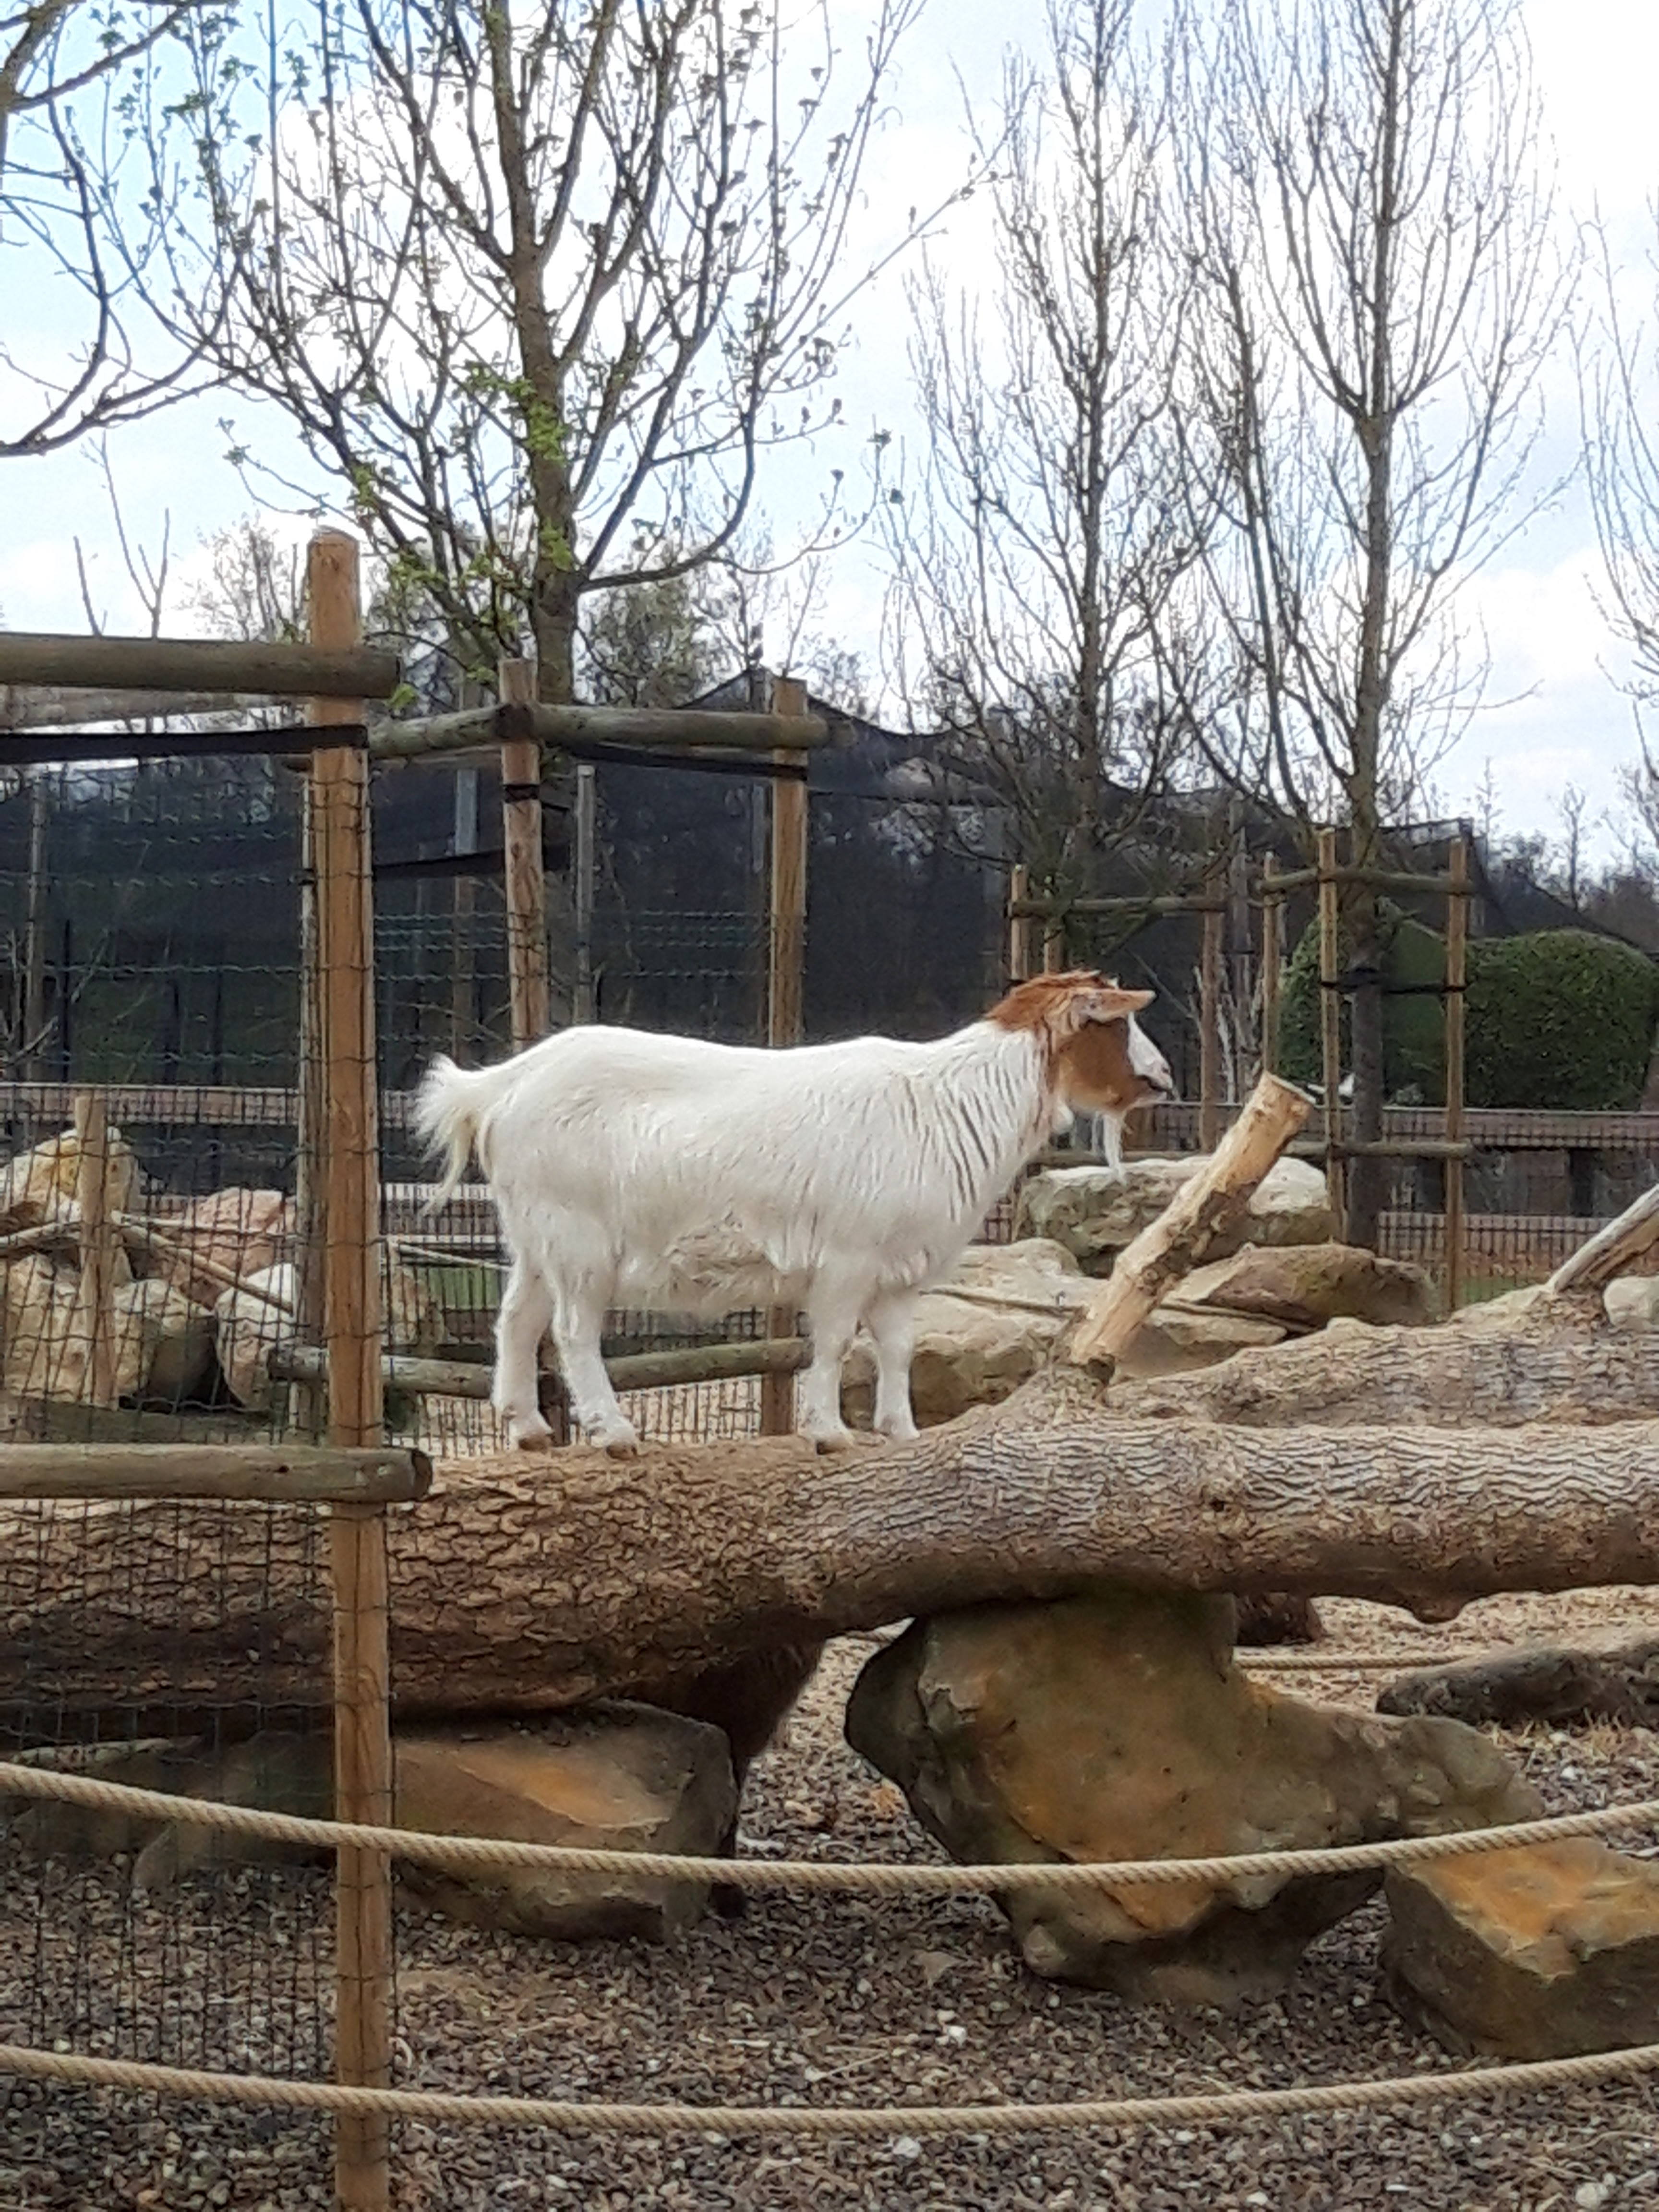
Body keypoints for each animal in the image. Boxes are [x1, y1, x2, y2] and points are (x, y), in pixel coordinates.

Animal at [414, 970, 1175, 1456]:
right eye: (1116, 1021)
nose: (1164, 1078)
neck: (952, 1101)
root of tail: (498, 1088)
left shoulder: (899, 1271)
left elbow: (897, 1347)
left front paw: (901, 1432)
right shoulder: (848, 1257)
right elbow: (835, 1343)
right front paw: (829, 1432)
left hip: (535, 1234)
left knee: (516, 1318)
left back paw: (527, 1429)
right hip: (579, 1235)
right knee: (572, 1331)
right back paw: (614, 1433)